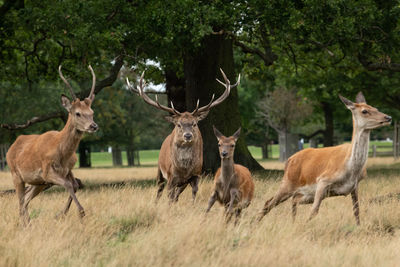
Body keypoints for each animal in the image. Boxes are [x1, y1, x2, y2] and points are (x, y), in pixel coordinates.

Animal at [6, 65, 98, 226]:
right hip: (16, 174)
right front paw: (79, 213)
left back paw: (29, 223)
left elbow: (75, 185)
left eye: (92, 112)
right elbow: (69, 185)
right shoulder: (47, 170)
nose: (94, 126)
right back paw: (24, 224)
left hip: (38, 182)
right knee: (20, 200)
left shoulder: (67, 170)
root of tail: (11, 148)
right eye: (78, 113)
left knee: (26, 199)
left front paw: (61, 214)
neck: (62, 154)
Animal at [126, 68, 239, 203]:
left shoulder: (196, 175)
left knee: (176, 195)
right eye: (179, 124)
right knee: (160, 190)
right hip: (159, 169)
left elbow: (193, 195)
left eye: (194, 123)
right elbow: (169, 196)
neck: (184, 169)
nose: (188, 135)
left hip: (182, 183)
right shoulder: (171, 176)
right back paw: (156, 203)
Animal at [258, 92, 392, 226]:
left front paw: (358, 227)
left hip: (305, 193)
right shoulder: (323, 180)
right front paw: (306, 226)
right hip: (288, 183)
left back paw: (292, 222)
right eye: (364, 111)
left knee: (293, 200)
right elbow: (314, 210)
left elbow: (356, 210)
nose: (388, 117)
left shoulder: (354, 186)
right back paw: (255, 223)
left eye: (376, 108)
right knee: (268, 203)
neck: (351, 170)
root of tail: (288, 160)